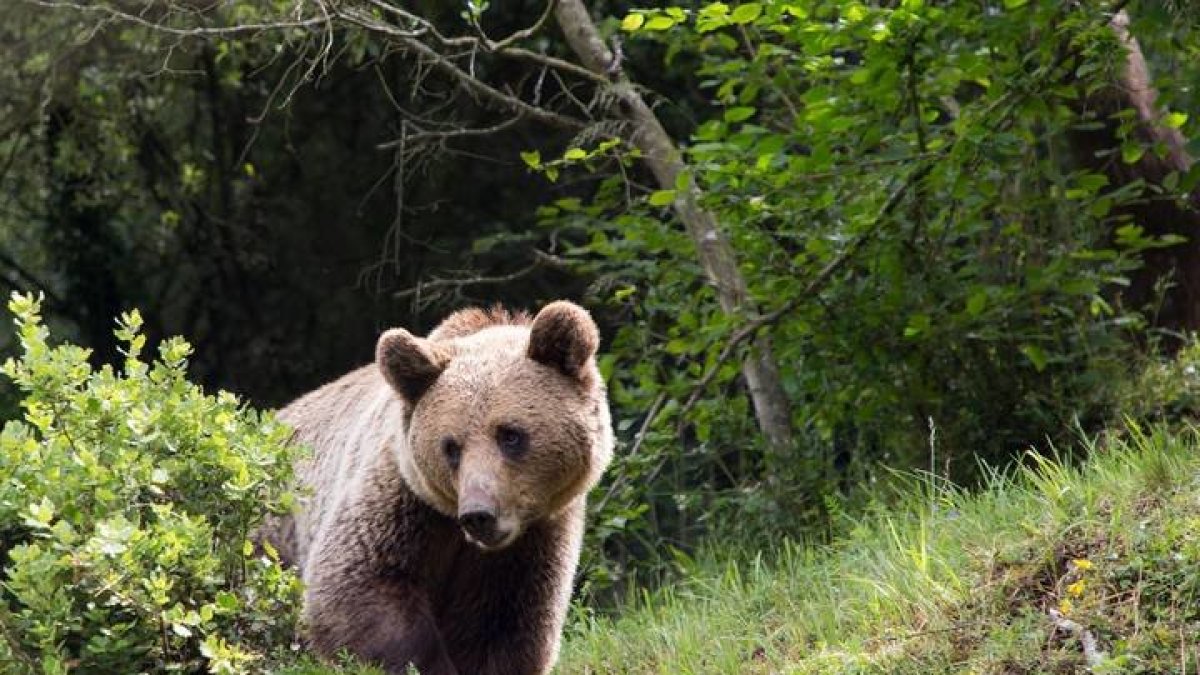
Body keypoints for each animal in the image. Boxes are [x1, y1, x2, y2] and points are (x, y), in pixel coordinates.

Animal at [261, 300, 613, 675]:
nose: (479, 514)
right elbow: (355, 586)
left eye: (510, 434)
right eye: (451, 446)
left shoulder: (532, 542)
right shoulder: (403, 502)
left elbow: (507, 624)